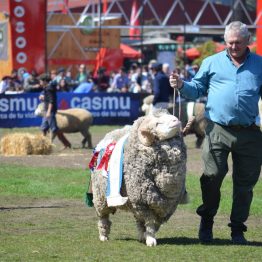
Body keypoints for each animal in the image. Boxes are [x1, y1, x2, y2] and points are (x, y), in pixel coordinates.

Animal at [91, 109, 187, 247]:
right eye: (157, 123)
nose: (176, 120)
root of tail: (110, 133)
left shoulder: (167, 204)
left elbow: (153, 224)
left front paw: (147, 236)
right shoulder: (142, 201)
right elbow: (150, 222)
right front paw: (151, 240)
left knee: (138, 220)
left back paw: (141, 236)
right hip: (101, 195)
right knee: (103, 217)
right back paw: (103, 235)